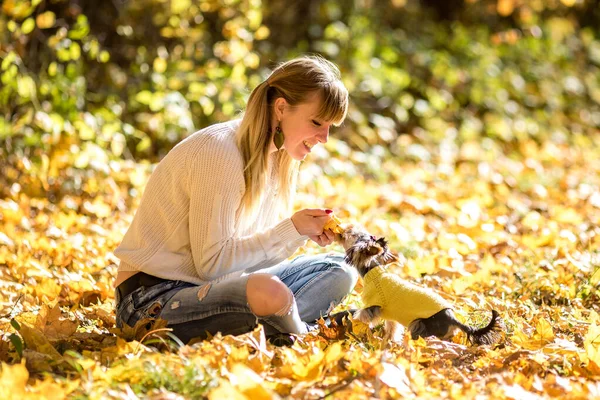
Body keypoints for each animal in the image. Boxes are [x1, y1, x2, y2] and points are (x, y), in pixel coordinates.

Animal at [338, 223, 502, 346]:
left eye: (353, 235)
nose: (346, 228)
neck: (372, 271)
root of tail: (451, 317)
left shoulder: (371, 307)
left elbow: (360, 317)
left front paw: (354, 326)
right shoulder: (390, 315)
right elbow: (392, 328)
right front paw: (389, 341)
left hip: (420, 325)